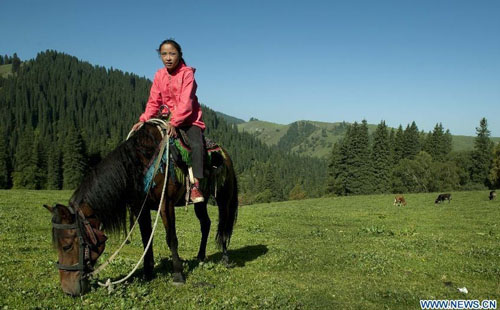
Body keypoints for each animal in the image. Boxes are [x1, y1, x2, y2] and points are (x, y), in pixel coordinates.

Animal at [44, 121, 237, 296]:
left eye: (67, 246)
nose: (68, 289)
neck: (140, 164)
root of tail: (224, 153)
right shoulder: (140, 208)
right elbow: (146, 240)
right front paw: (148, 272)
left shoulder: (166, 204)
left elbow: (171, 239)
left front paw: (178, 274)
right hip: (201, 202)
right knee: (206, 224)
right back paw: (200, 256)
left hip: (223, 197)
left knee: (223, 225)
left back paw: (225, 258)